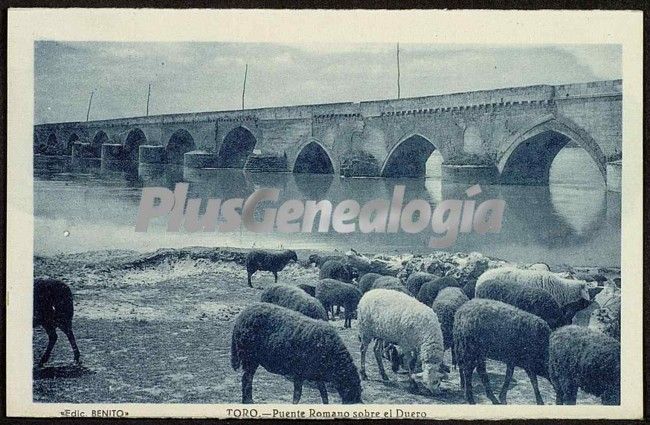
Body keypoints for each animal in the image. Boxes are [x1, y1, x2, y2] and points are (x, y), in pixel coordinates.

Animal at [230, 302, 362, 404]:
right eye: (352, 391)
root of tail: (240, 318)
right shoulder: (299, 372)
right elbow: (297, 395)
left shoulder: (316, 375)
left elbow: (324, 395)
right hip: (249, 358)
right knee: (246, 379)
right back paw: (248, 401)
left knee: (247, 378)